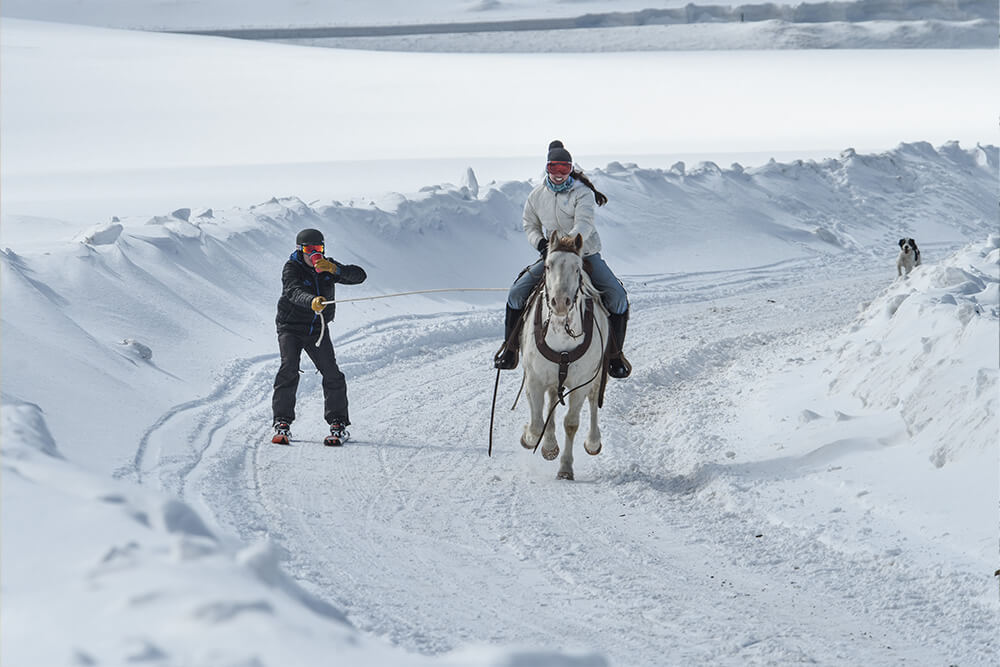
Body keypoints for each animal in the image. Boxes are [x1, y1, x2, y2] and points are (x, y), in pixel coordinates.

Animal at [519, 231, 610, 480]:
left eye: (577, 268)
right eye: (548, 265)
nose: (560, 303)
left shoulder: (581, 383)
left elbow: (571, 423)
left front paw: (566, 468)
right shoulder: (535, 378)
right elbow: (536, 423)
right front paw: (533, 440)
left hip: (597, 375)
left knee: (593, 399)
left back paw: (593, 442)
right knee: (550, 401)